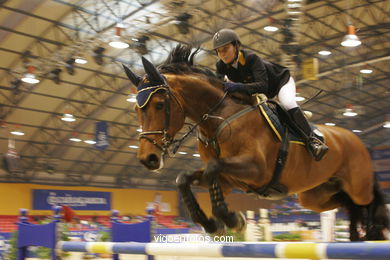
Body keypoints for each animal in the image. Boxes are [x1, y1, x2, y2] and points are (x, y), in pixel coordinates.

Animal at [122, 44, 390, 240]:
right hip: (315, 196)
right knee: (349, 205)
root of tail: (355, 138)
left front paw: (231, 219)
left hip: (357, 186)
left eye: (159, 105)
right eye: (136, 110)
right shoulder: (230, 179)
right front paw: (212, 223)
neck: (218, 119)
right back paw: (358, 236)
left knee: (369, 201)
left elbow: (212, 169)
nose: (148, 159)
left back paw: (372, 231)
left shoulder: (257, 170)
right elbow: (185, 178)